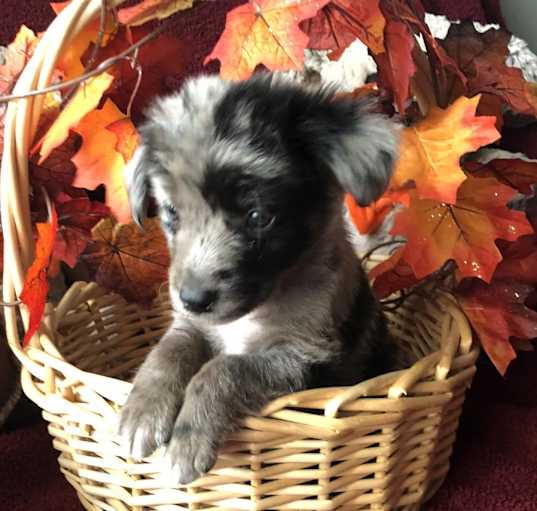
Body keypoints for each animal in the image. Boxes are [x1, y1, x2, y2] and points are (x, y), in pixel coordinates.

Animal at [119, 72, 400, 484]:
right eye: (171, 213)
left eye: (258, 217)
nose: (192, 299)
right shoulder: (191, 326)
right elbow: (168, 351)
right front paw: (141, 412)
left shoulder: (301, 356)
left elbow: (224, 368)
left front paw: (188, 441)